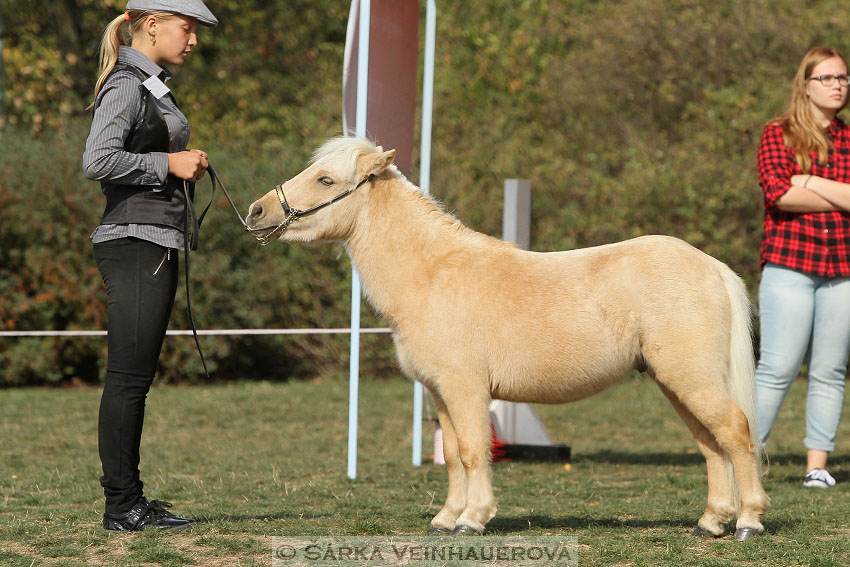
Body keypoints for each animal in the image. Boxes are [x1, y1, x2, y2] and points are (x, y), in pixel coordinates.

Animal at [245, 136, 768, 540]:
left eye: (326, 180)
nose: (256, 210)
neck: (432, 273)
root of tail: (711, 267)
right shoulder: (440, 393)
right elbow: (453, 456)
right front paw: (445, 519)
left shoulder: (466, 390)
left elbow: (474, 452)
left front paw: (472, 519)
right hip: (677, 382)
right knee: (711, 444)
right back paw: (710, 522)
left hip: (691, 379)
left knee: (735, 433)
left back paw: (748, 522)